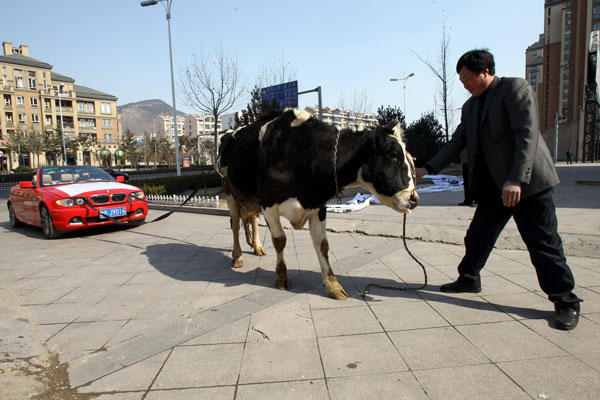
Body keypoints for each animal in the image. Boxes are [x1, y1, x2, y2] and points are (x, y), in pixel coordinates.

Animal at [219, 108, 418, 298]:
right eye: (393, 155)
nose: (414, 199)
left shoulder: (318, 206)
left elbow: (322, 245)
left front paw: (333, 285)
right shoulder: (269, 204)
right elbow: (279, 241)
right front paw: (282, 277)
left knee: (252, 219)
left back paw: (258, 247)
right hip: (230, 193)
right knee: (235, 225)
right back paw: (237, 257)